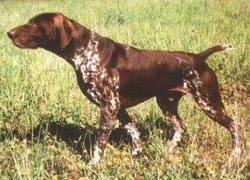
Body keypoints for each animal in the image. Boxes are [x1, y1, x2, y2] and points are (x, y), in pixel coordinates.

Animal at [7, 11, 240, 162]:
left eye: (36, 24)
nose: (9, 33)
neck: (87, 51)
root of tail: (200, 57)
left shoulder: (109, 108)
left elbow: (100, 144)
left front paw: (94, 166)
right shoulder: (117, 108)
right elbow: (134, 132)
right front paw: (137, 154)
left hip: (209, 102)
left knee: (235, 125)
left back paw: (235, 155)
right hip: (167, 104)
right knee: (180, 127)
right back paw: (168, 150)